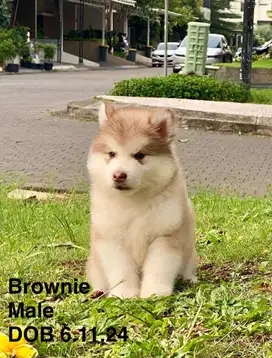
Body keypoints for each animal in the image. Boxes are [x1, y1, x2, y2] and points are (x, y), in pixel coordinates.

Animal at [87, 102, 198, 298]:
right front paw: (124, 295)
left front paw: (154, 293)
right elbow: (121, 272)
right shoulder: (112, 239)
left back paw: (188, 279)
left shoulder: (165, 236)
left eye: (139, 155)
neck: (134, 202)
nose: (119, 175)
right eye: (112, 154)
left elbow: (158, 268)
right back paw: (98, 291)